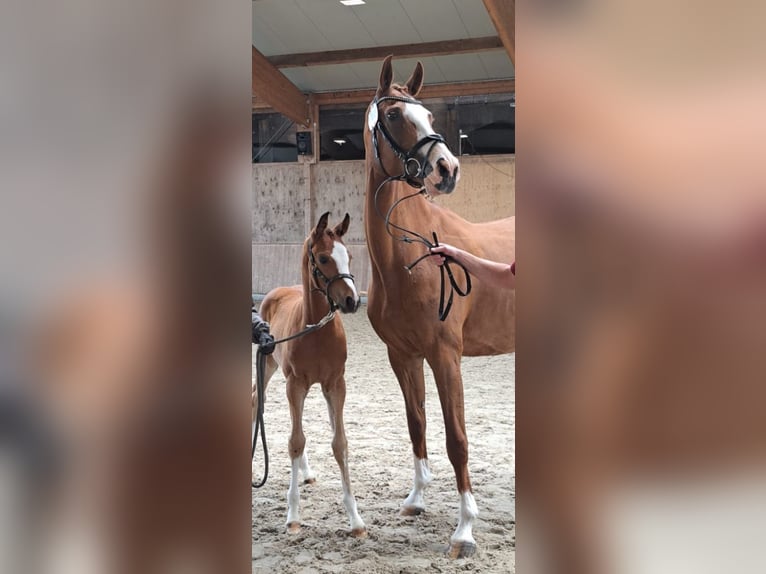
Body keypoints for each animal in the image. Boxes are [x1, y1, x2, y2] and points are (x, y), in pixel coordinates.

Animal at [256, 213, 368, 540]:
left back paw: (306, 473)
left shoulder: (335, 385)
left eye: (349, 256)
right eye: (323, 258)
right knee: (258, 400)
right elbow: (295, 441)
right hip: (268, 365)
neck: (317, 329)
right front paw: (293, 516)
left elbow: (339, 443)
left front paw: (355, 519)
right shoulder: (296, 384)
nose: (352, 301)